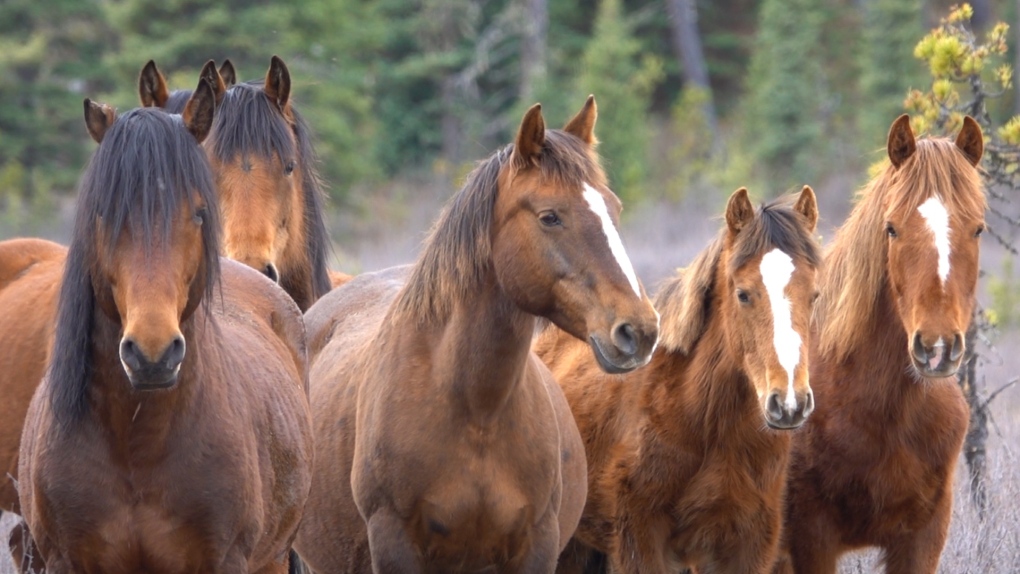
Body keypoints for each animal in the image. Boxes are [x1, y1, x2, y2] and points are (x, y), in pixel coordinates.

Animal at [291, 96, 656, 570]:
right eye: (550, 216)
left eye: (614, 210)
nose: (639, 330)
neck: (475, 409)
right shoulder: (394, 545)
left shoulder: (537, 549)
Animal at [538, 186, 824, 570]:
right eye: (743, 294)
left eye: (814, 295)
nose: (790, 402)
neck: (707, 423)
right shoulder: (642, 543)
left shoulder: (746, 546)